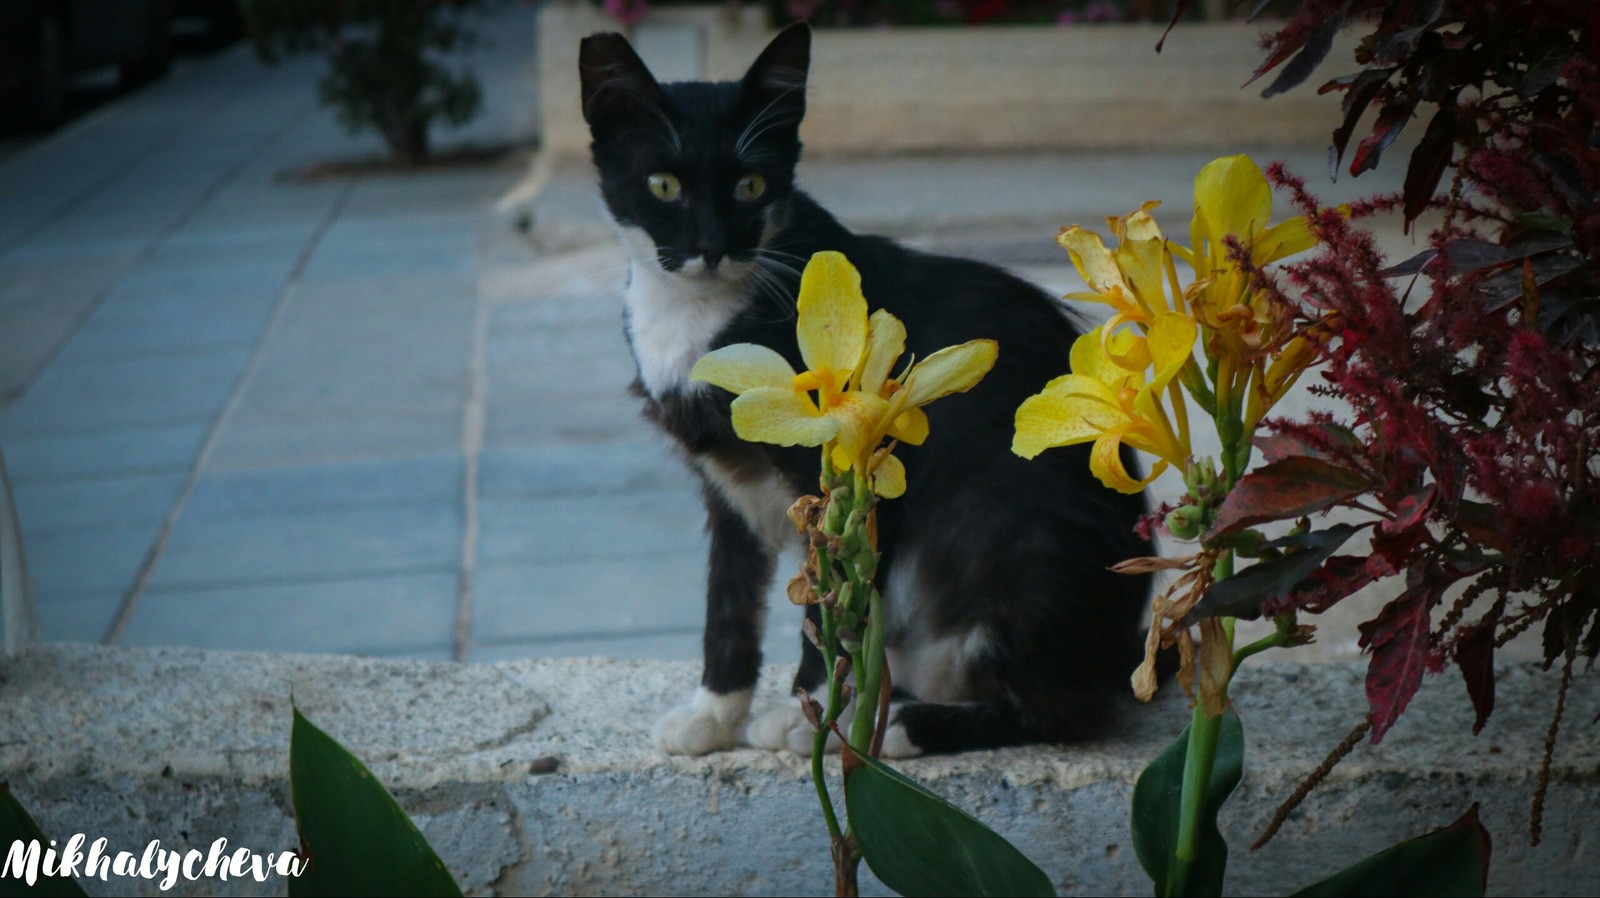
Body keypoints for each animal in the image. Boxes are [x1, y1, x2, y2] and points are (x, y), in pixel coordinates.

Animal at [582, 24, 1158, 752]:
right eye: (663, 185)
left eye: (750, 185)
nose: (710, 246)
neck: (695, 313)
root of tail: (1122, 654)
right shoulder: (727, 486)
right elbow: (729, 598)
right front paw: (714, 712)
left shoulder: (865, 477)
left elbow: (836, 598)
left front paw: (810, 713)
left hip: (1018, 539)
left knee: (1063, 714)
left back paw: (900, 726)